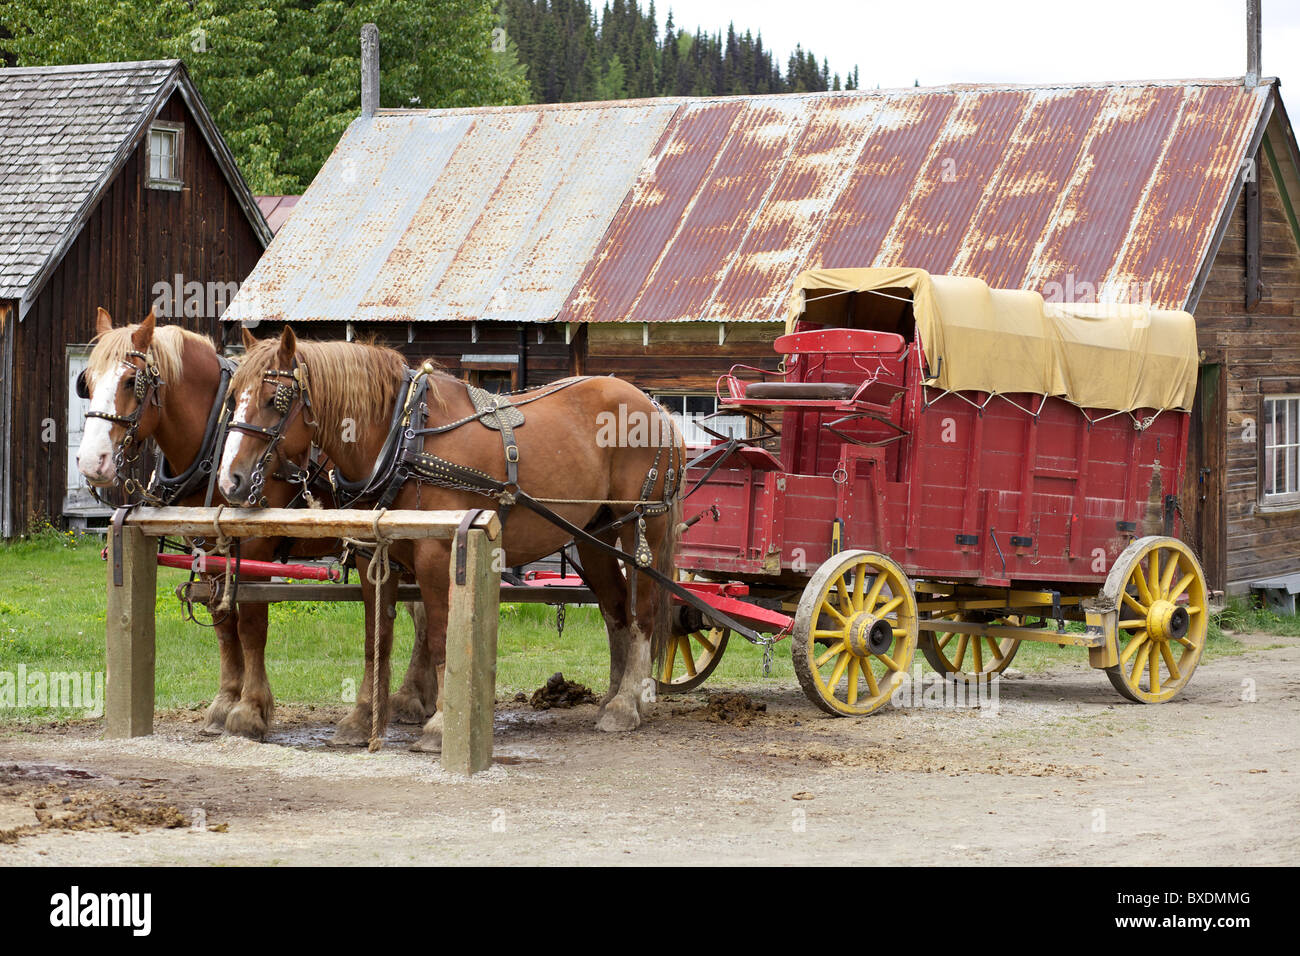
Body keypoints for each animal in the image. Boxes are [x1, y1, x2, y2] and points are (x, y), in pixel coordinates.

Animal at [76, 314, 436, 738]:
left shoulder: (255, 547)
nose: (90, 462)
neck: (216, 439)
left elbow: (249, 625)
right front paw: (224, 702)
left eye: (133, 381)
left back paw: (412, 698)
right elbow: (223, 625)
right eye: (87, 382)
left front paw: (249, 710)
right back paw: (419, 698)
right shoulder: (211, 548)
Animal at [215, 327, 681, 749]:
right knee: (615, 610)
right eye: (233, 394)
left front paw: (440, 724)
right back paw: (614, 699)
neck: (401, 438)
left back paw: (627, 703)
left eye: (275, 399)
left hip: (640, 526)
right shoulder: (372, 556)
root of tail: (655, 407)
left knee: (642, 612)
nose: (230, 480)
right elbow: (375, 641)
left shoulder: (437, 554)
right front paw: (363, 718)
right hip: (590, 535)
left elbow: (440, 636)